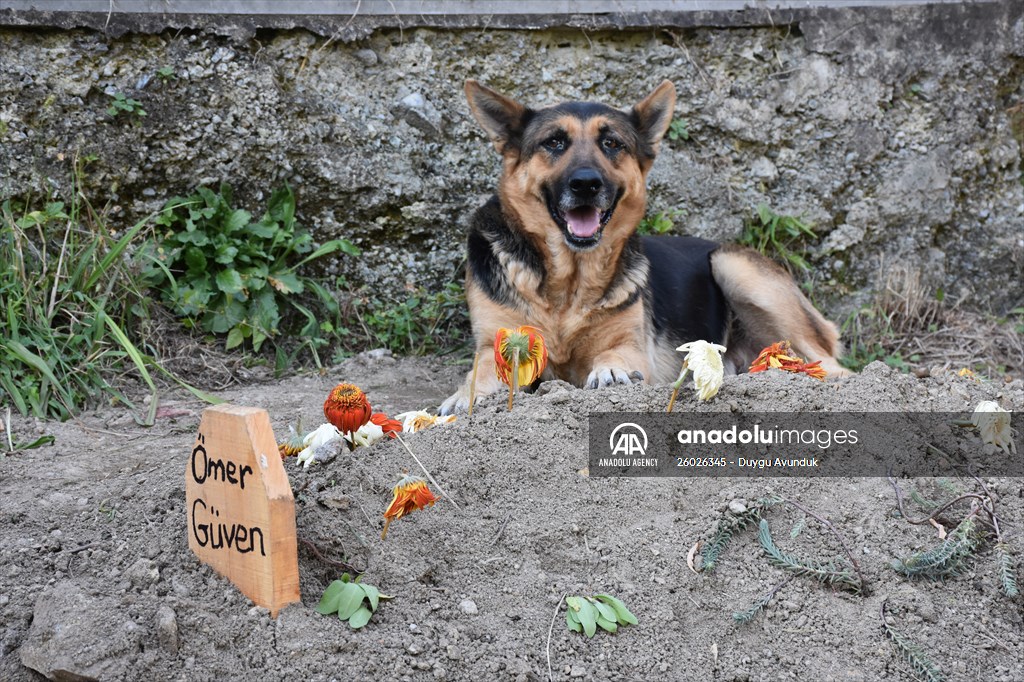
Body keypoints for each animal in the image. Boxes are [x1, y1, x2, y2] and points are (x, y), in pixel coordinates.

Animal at [436, 76, 843, 411]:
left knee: (835, 368)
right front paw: (463, 397)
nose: (586, 184)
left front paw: (611, 373)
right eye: (554, 142)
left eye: (611, 143)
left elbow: (616, 358)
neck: (568, 285)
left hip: (733, 265)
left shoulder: (630, 346)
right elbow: (482, 372)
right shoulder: (496, 346)